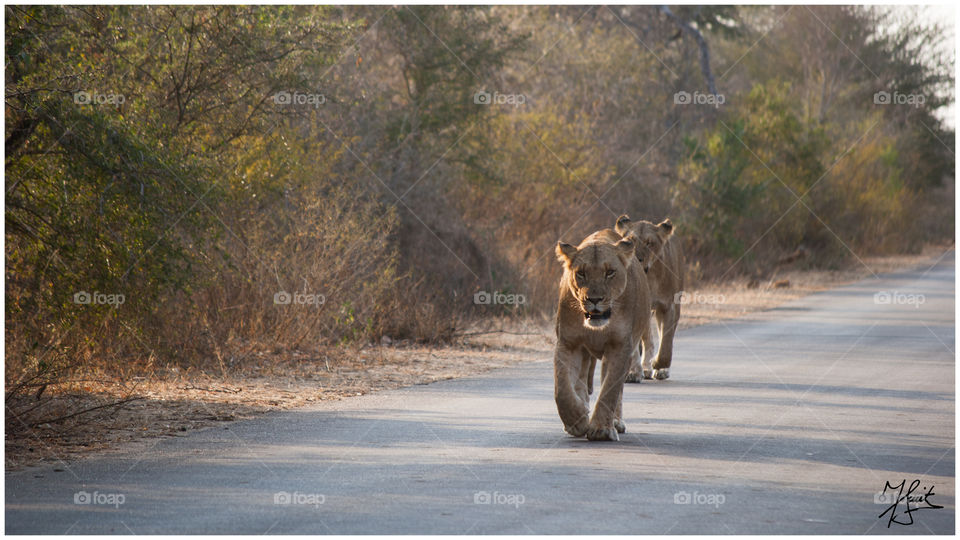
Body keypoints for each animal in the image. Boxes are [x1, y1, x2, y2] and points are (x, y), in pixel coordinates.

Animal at [553, 229, 651, 441]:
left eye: (610, 272)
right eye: (581, 273)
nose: (595, 299)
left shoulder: (620, 346)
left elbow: (610, 390)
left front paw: (601, 430)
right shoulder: (568, 343)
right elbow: (562, 389)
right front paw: (577, 420)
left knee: (616, 389)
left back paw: (615, 422)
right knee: (581, 381)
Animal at [615, 215, 684, 381]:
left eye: (649, 243)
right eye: (631, 241)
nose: (637, 258)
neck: (649, 278)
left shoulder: (668, 307)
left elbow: (666, 344)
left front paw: (658, 365)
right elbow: (636, 345)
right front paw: (633, 372)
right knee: (646, 339)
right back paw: (643, 368)